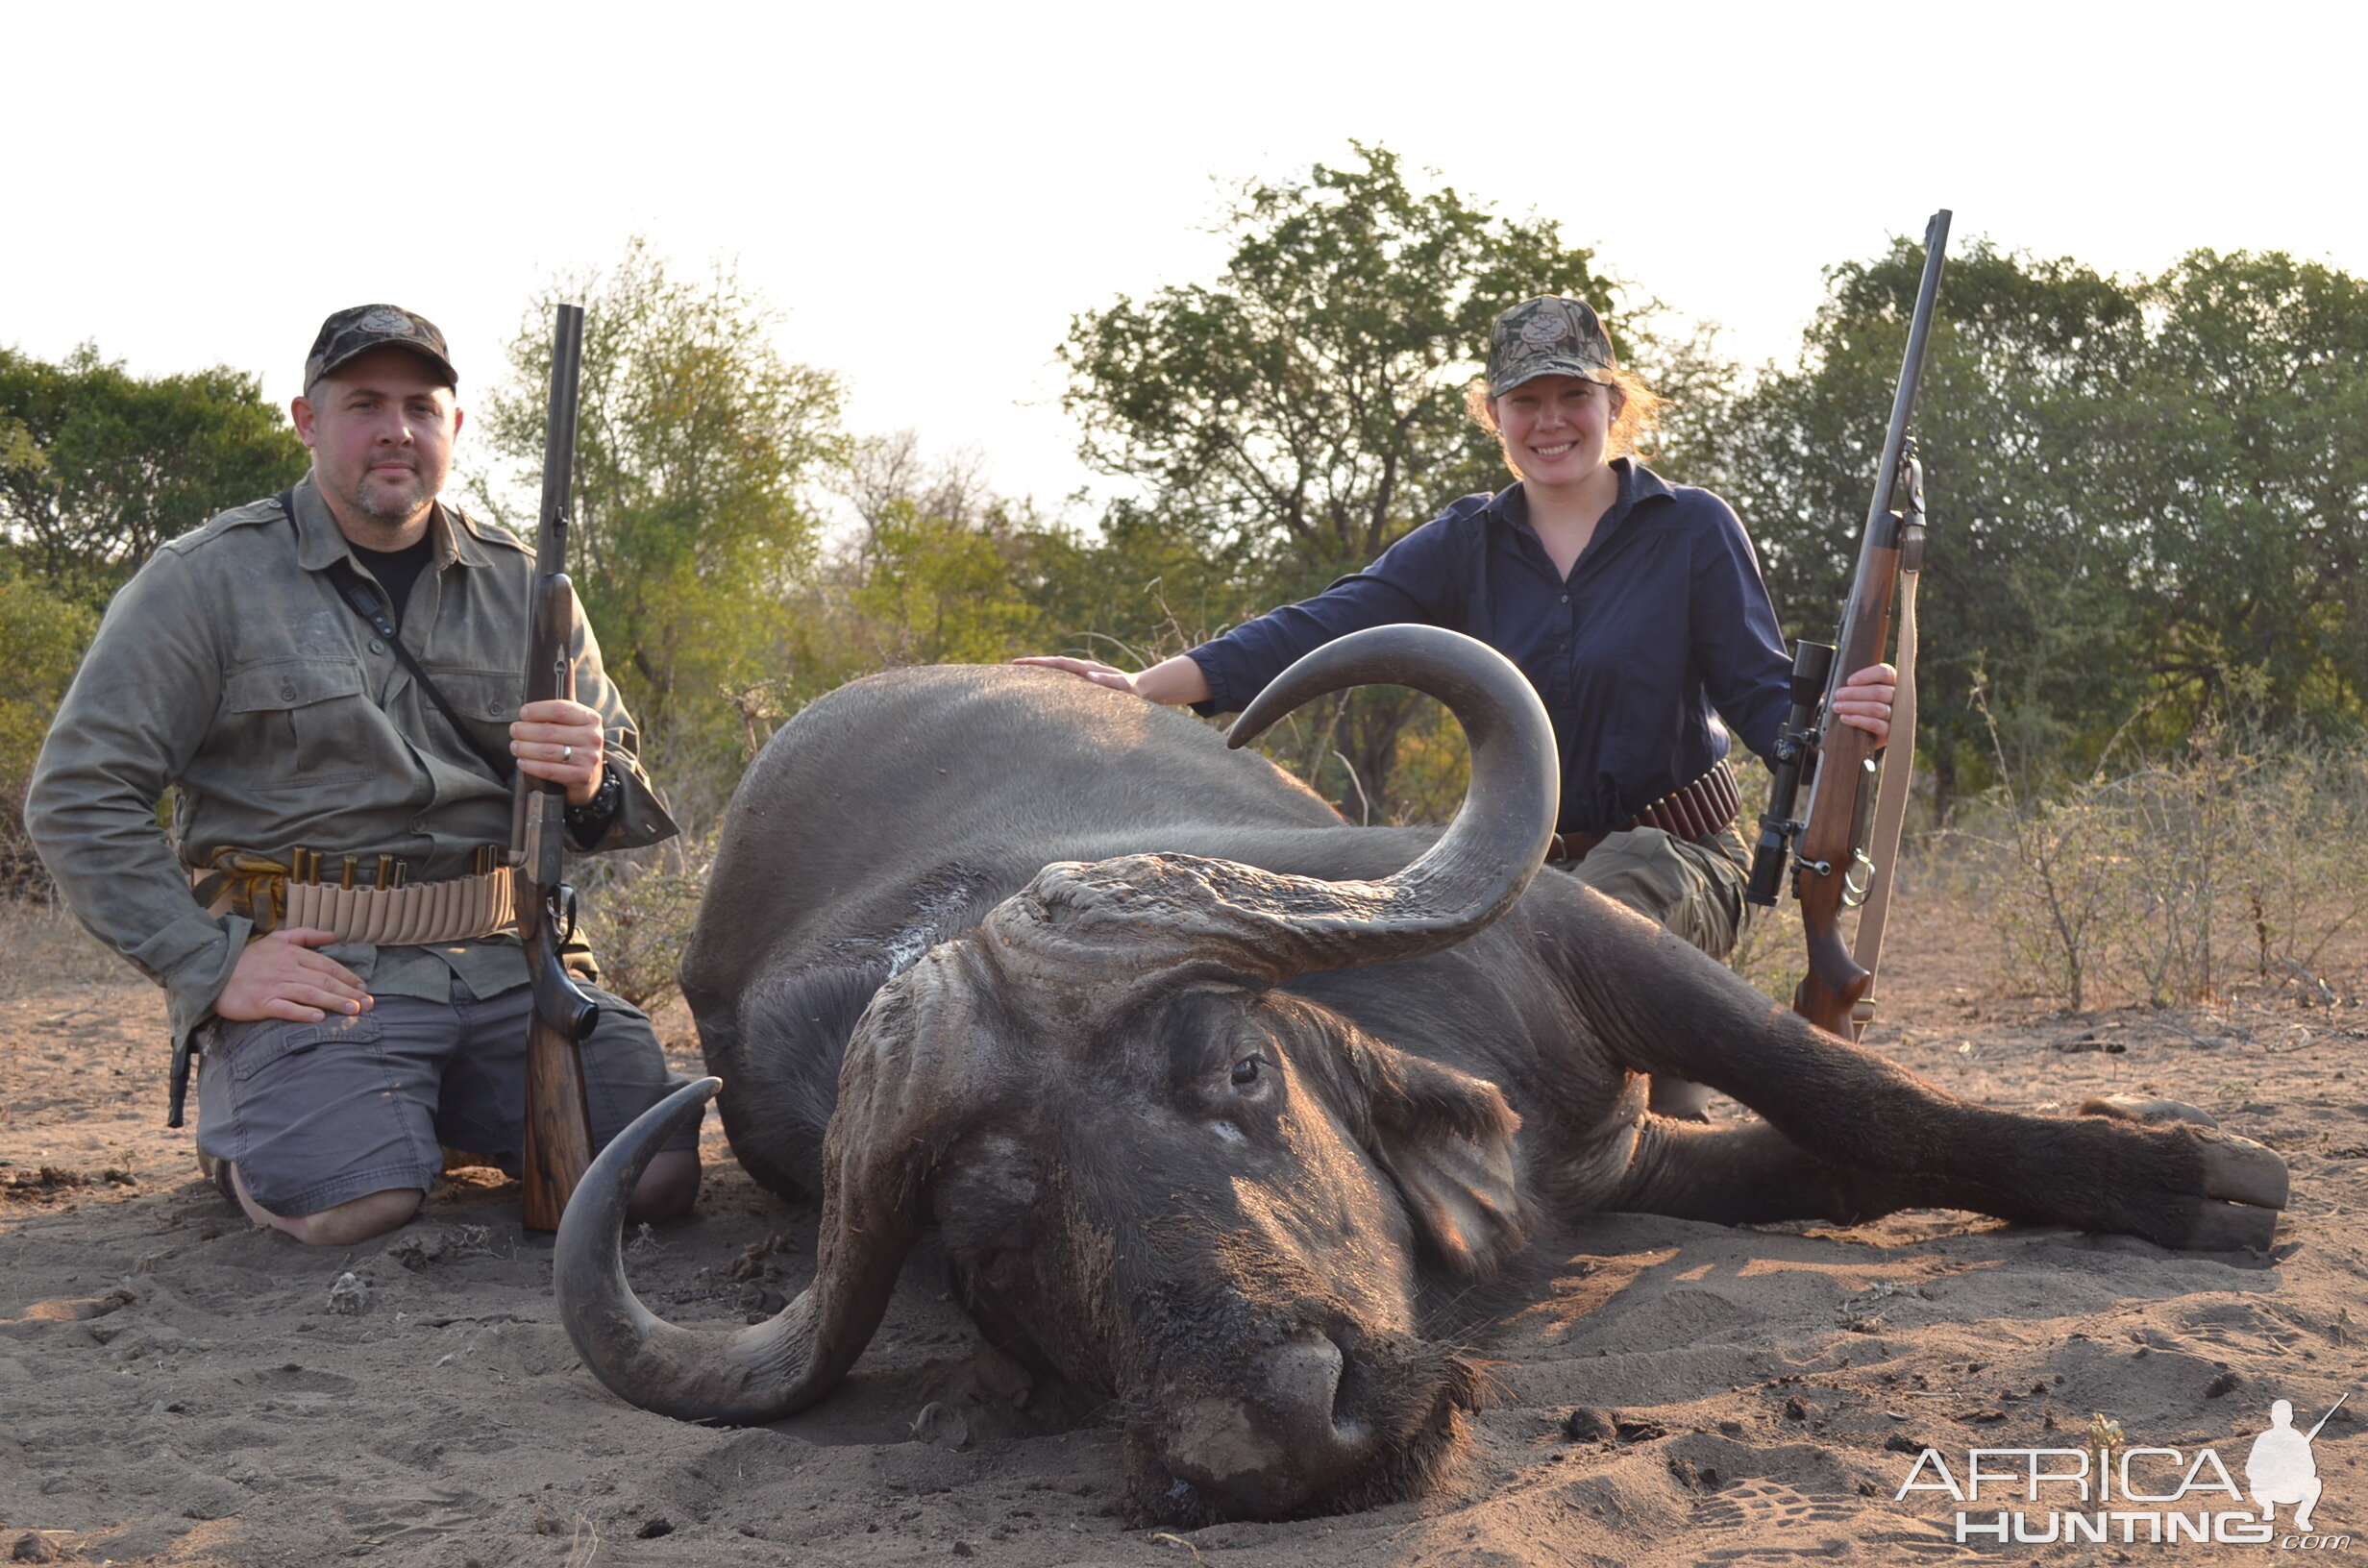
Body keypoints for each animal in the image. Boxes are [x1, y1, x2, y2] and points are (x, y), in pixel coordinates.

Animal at [544, 625, 2282, 1525]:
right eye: (982, 1250)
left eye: (1240, 1070)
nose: (1271, 1434)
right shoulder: (1618, 1156)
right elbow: (1846, 1160)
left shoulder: (1598, 960)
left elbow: (1867, 1104)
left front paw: (2191, 1178)